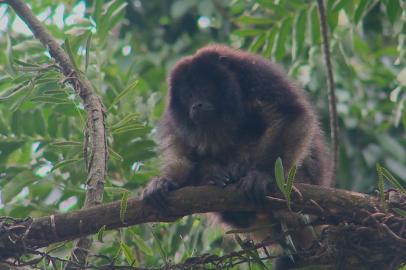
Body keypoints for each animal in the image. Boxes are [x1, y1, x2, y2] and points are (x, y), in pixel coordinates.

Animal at [143, 44, 334, 268]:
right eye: (188, 95)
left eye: (205, 88)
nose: (196, 105)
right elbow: (187, 158)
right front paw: (166, 182)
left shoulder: (256, 73)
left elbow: (290, 114)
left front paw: (261, 175)